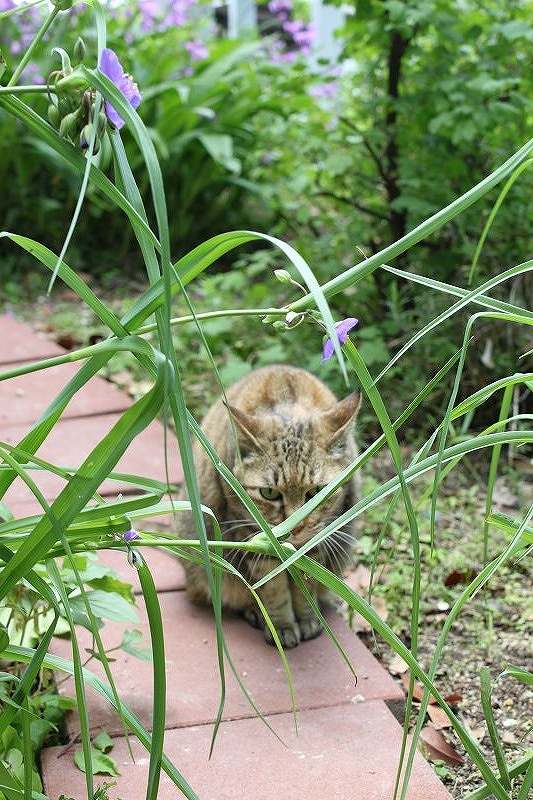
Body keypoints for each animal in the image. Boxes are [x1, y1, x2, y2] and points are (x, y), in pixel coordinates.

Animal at [177, 366, 360, 648]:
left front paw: (308, 617)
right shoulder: (253, 536)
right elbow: (273, 588)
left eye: (316, 492)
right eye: (270, 493)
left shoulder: (315, 542)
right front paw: (281, 625)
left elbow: (305, 583)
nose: (296, 526)